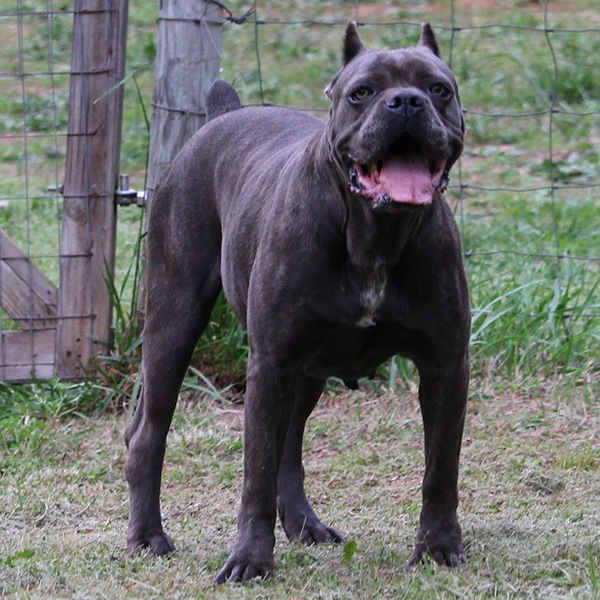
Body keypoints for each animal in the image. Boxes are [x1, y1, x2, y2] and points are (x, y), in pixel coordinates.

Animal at [125, 22, 468, 580]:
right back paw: (146, 535)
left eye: (439, 89)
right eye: (362, 92)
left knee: (289, 447)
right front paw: (249, 559)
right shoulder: (268, 365)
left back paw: (304, 524)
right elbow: (255, 474)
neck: (375, 233)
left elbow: (441, 468)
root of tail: (223, 116)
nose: (406, 102)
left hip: (306, 369)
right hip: (174, 324)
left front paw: (438, 546)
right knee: (149, 433)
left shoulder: (446, 366)